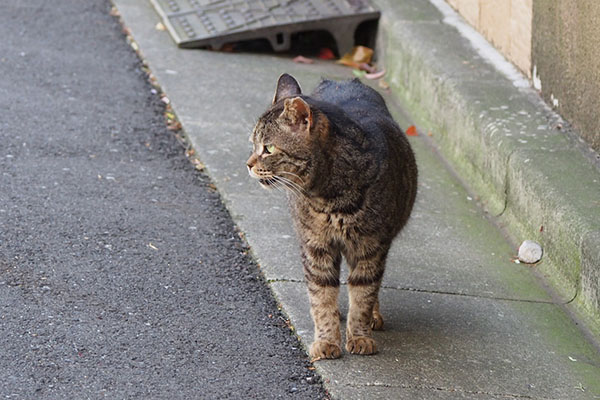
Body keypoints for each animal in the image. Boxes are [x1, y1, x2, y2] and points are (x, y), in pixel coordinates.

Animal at [245, 73, 418, 358]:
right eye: (253, 144)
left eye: (268, 148)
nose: (248, 164)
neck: (330, 197)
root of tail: (343, 80)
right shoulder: (316, 246)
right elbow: (322, 296)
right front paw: (327, 340)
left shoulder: (371, 246)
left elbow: (363, 294)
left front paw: (359, 335)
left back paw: (374, 315)